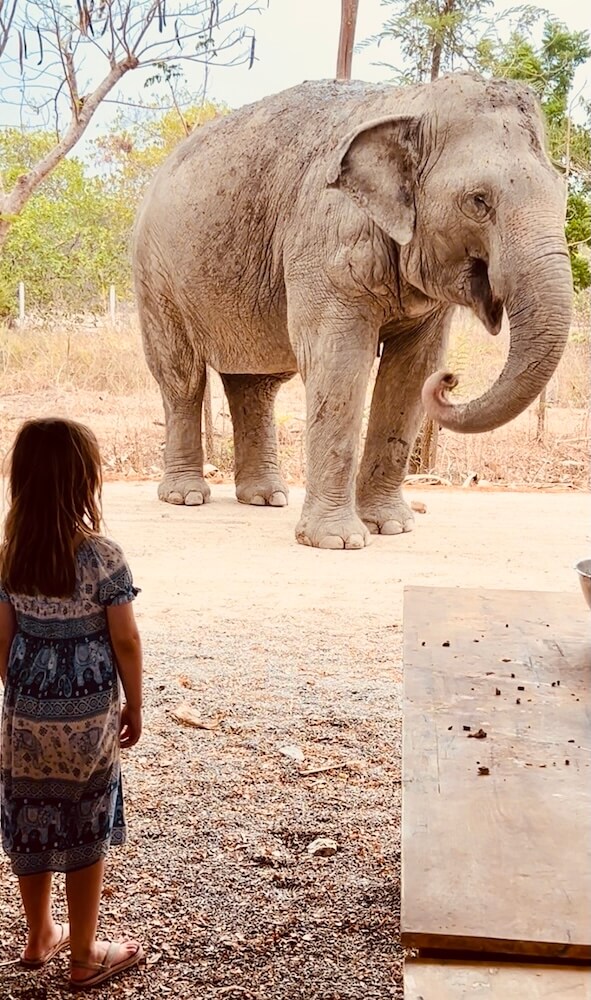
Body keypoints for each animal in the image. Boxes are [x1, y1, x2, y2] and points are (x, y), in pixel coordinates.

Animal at [133, 73, 572, 550]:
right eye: (478, 200)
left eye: (564, 194)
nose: (451, 380)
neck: (411, 103)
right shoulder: (326, 241)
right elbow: (340, 362)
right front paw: (337, 541)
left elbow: (412, 372)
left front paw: (391, 527)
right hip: (155, 274)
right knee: (181, 376)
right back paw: (186, 496)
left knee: (257, 383)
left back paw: (267, 498)